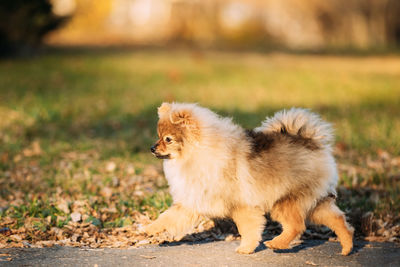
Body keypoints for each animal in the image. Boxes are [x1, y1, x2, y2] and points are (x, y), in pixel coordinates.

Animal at [144, 102, 354, 255]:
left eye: (168, 139)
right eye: (158, 136)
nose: (152, 148)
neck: (198, 153)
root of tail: (311, 142)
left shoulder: (242, 206)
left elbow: (247, 228)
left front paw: (246, 248)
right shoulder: (193, 200)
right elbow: (168, 217)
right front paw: (149, 229)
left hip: (286, 201)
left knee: (297, 225)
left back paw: (276, 243)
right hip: (313, 202)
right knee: (337, 218)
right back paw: (347, 247)